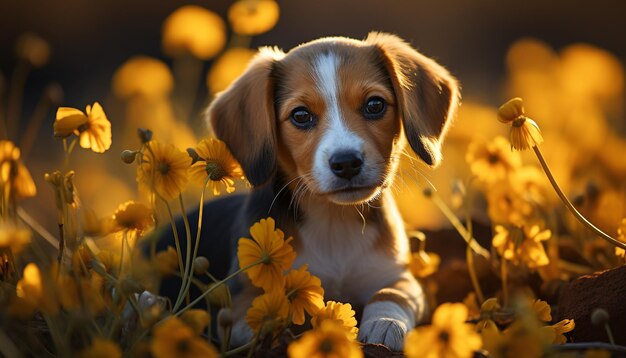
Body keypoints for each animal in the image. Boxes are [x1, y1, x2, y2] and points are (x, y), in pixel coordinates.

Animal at [182, 32, 458, 352]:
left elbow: (393, 293)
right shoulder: (242, 293)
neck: (334, 219)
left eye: (374, 105)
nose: (346, 162)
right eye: (301, 115)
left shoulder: (397, 274)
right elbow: (254, 315)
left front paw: (386, 321)